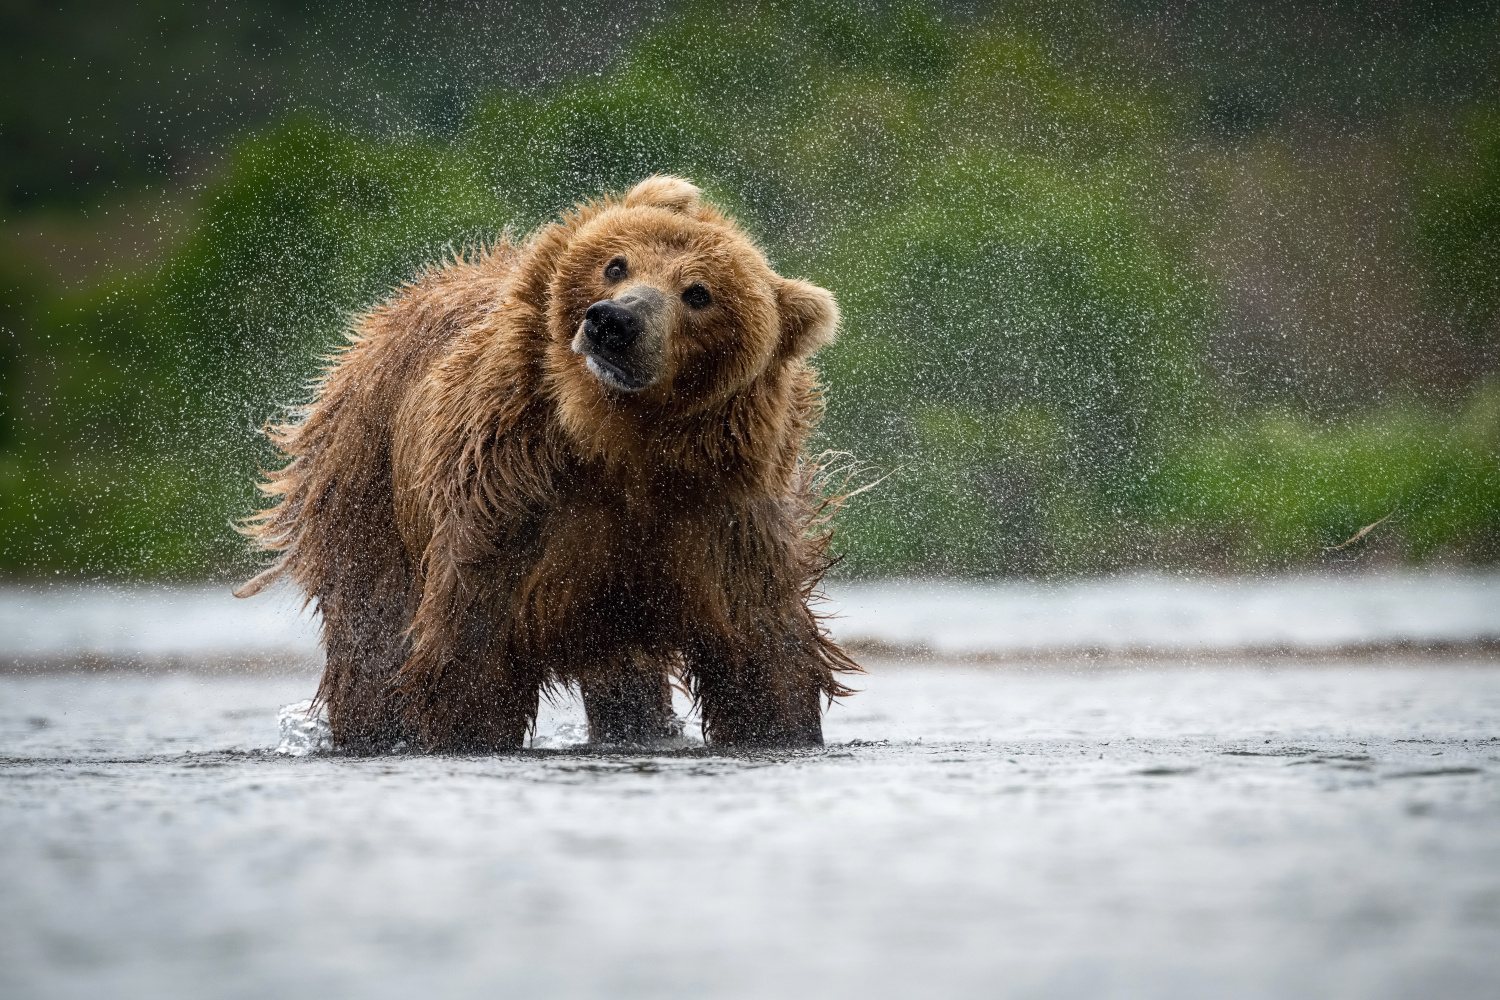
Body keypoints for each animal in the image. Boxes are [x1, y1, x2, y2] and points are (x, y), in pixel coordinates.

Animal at [240, 173, 864, 749]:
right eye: (616, 264)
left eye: (698, 293)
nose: (613, 321)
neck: (620, 445)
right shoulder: (514, 495)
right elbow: (472, 653)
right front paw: (463, 727)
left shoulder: (720, 519)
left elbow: (762, 654)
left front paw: (781, 725)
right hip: (369, 490)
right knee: (370, 636)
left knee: (628, 682)